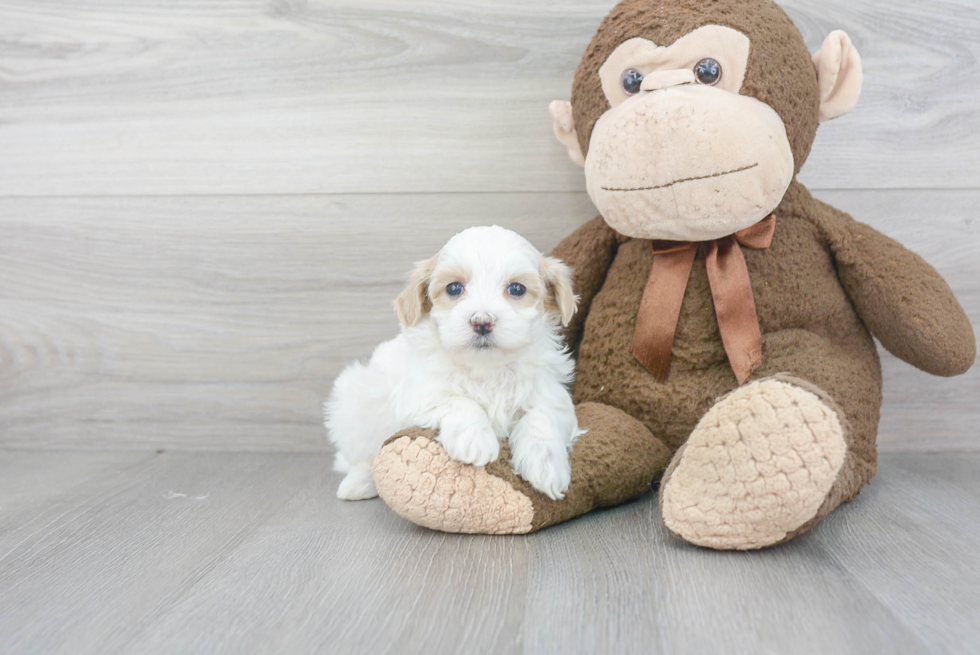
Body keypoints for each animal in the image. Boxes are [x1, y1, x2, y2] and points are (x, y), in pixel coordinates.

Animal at [326, 226, 580, 502]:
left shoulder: (552, 395)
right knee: (363, 455)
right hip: (353, 405)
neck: (487, 368)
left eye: (516, 289)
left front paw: (547, 465)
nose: (482, 321)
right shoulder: (418, 395)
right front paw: (475, 439)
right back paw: (358, 483)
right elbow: (458, 400)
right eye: (455, 288)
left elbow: (542, 415)